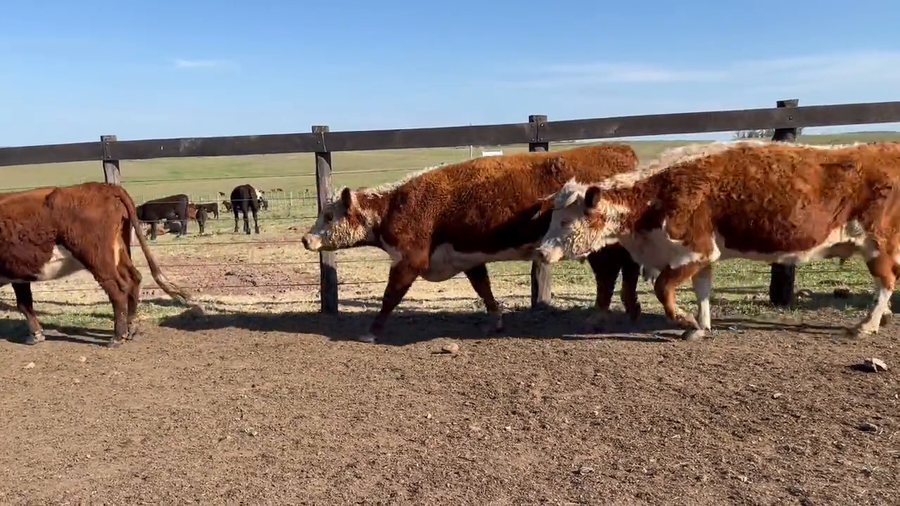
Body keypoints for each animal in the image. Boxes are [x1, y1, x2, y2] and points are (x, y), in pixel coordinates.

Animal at [0, 182, 194, 348]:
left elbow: (24, 305)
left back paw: (117, 336)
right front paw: (36, 335)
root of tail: (105, 187)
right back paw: (130, 328)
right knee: (134, 279)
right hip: (119, 252)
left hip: (98, 259)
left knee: (118, 289)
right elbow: (25, 304)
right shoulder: (19, 274)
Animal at [301, 144, 647, 343]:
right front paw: (495, 321)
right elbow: (483, 288)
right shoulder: (467, 258)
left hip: (599, 246)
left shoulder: (409, 261)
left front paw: (371, 332)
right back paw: (630, 310)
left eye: (329, 216)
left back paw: (599, 317)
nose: (306, 238)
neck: (396, 205)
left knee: (608, 275)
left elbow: (389, 297)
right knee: (626, 270)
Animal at [536, 140, 900, 341]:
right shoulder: (703, 257)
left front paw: (684, 320)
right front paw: (701, 325)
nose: (541, 252)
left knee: (886, 282)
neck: (655, 196)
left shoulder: (694, 252)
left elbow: (663, 287)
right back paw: (880, 318)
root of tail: (886, 149)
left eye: (566, 221)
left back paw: (866, 323)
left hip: (877, 243)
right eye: (552, 218)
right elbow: (703, 292)